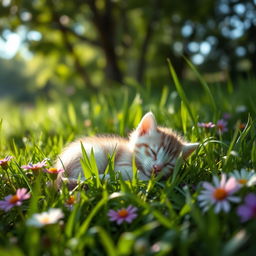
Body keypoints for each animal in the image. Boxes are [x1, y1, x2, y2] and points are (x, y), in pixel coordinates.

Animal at [55, 112, 197, 188]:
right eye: (153, 152)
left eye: (169, 164)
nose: (157, 168)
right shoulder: (120, 165)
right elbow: (138, 174)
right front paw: (151, 180)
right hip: (94, 154)